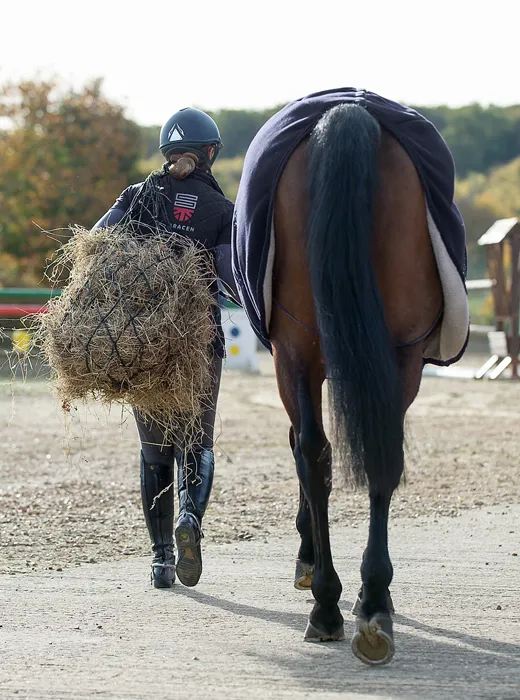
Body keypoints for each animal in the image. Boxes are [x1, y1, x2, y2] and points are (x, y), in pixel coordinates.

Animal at [268, 103, 443, 664]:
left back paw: (330, 603)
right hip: (397, 354)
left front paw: (310, 566)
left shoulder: (292, 360)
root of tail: (348, 114)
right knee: (380, 457)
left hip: (298, 349)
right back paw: (372, 604)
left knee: (316, 455)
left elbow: (304, 452)